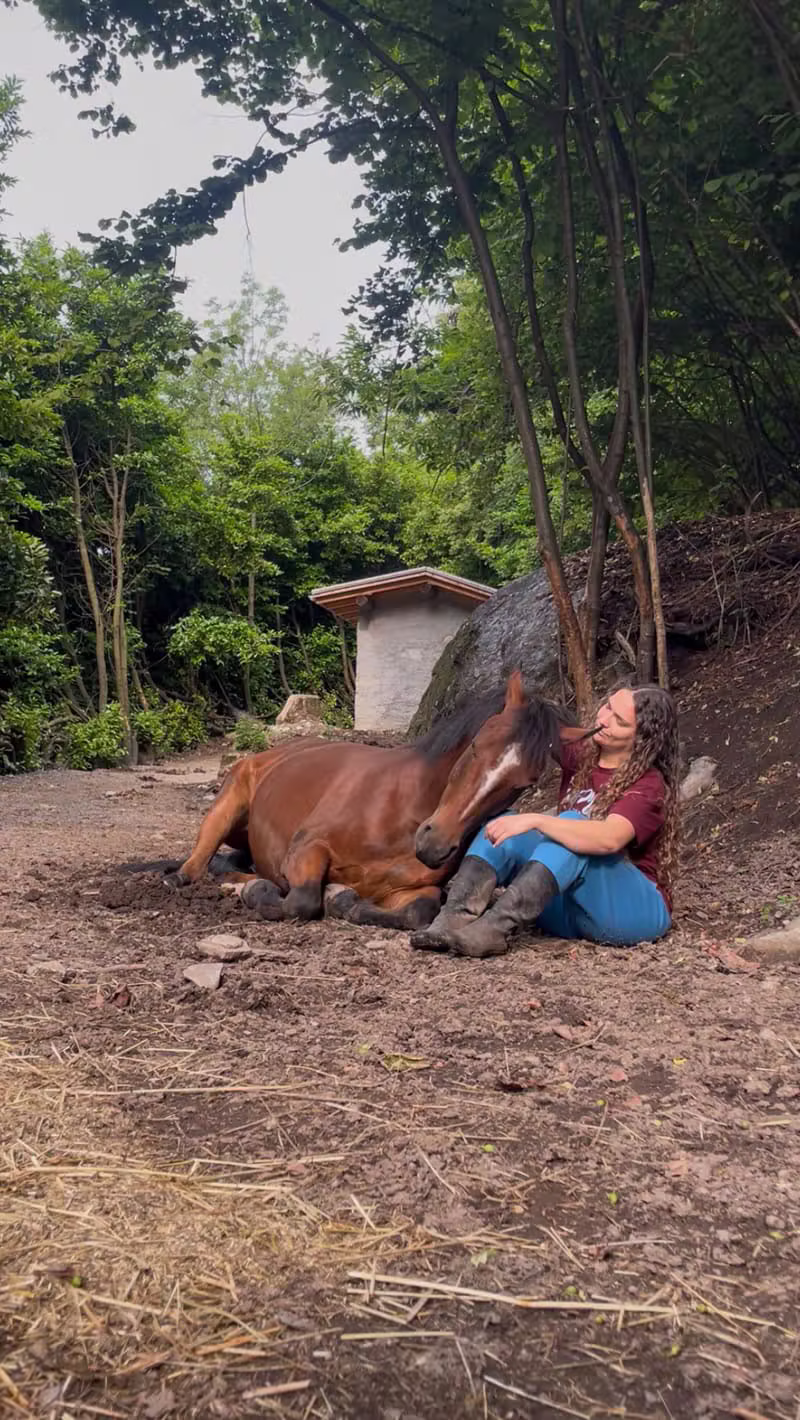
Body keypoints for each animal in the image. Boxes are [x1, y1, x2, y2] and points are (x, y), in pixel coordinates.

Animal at [153, 671, 573, 932]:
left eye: (524, 783)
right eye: (475, 747)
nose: (434, 845)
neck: (400, 810)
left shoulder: (407, 892)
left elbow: (419, 912)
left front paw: (342, 898)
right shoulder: (307, 849)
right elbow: (302, 900)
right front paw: (262, 892)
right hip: (224, 811)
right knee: (195, 870)